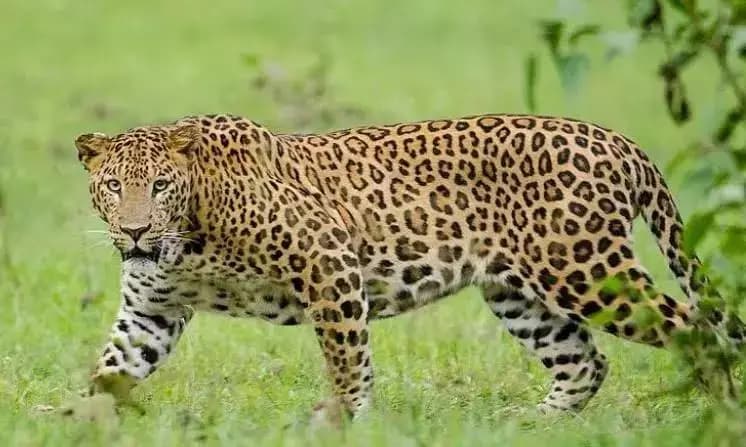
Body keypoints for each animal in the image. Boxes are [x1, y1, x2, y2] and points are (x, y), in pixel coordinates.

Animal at [74, 113, 744, 423]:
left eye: (160, 186)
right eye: (114, 186)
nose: (135, 230)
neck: (187, 239)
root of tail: (618, 140)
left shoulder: (328, 260)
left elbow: (347, 358)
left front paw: (344, 420)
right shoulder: (151, 310)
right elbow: (112, 369)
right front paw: (78, 422)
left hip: (584, 269)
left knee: (696, 331)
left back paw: (719, 415)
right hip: (518, 293)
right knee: (585, 362)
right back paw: (533, 425)